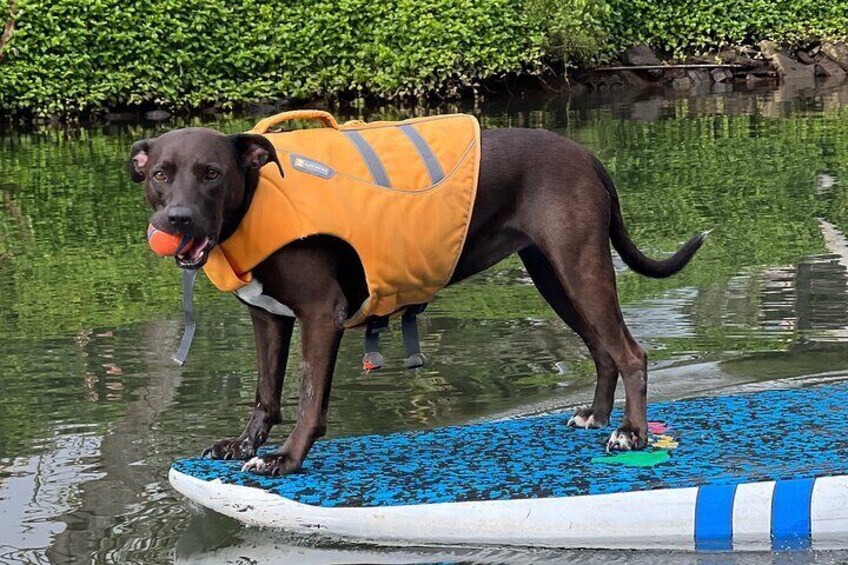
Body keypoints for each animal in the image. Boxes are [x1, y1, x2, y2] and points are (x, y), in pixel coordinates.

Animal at [129, 125, 704, 474]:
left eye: (212, 173)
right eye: (160, 175)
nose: (177, 220)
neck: (256, 201)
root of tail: (584, 153)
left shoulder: (321, 315)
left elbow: (310, 397)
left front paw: (286, 459)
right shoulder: (268, 319)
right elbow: (265, 395)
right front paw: (245, 445)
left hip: (581, 269)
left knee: (630, 353)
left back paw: (631, 434)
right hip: (556, 279)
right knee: (603, 351)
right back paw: (597, 417)